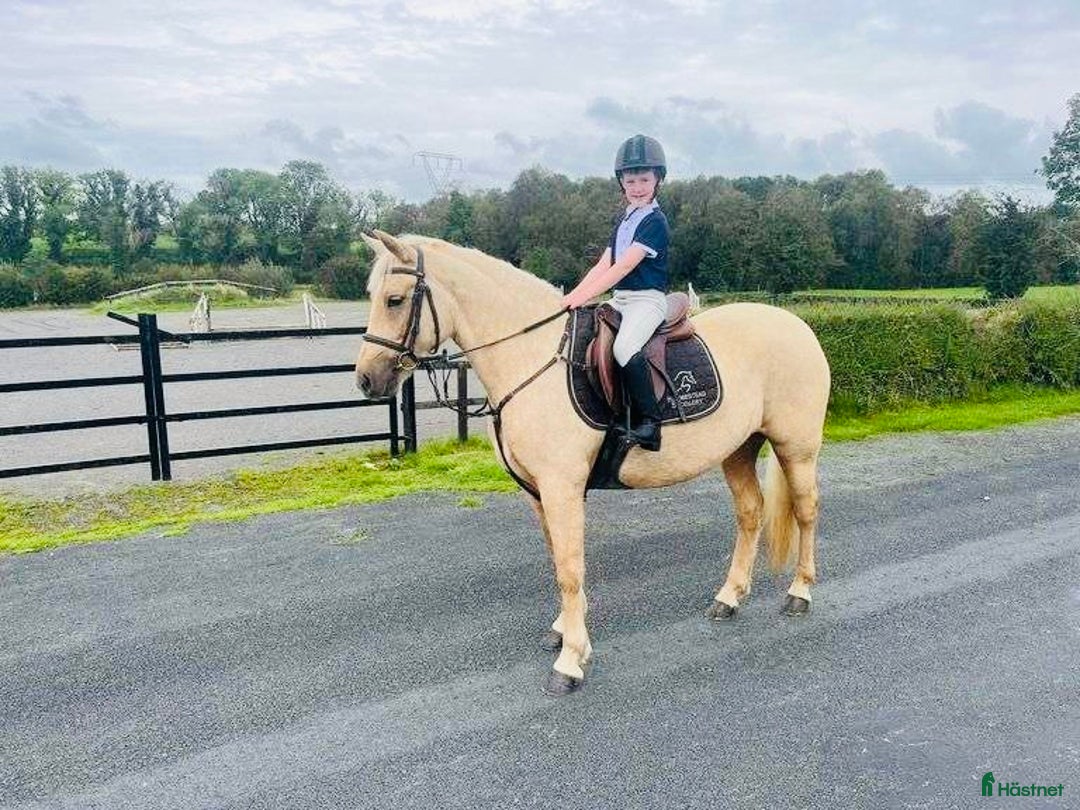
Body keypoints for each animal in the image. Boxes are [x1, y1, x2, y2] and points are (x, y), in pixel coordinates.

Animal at [355, 231, 831, 695]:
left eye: (394, 300)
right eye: (373, 296)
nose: (365, 380)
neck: (533, 356)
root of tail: (796, 325)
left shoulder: (560, 486)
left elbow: (570, 569)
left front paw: (570, 661)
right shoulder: (538, 492)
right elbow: (558, 560)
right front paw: (566, 632)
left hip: (796, 448)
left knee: (806, 512)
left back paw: (799, 593)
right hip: (738, 449)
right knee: (750, 514)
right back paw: (729, 598)